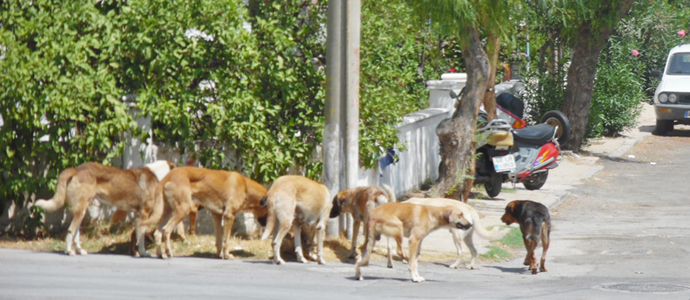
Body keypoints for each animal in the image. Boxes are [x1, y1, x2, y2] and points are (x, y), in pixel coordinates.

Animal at [34, 161, 175, 256]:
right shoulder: (143, 214)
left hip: (82, 210)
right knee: (70, 231)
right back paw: (69, 251)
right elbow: (141, 237)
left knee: (76, 233)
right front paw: (143, 253)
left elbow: (136, 235)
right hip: (81, 209)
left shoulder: (137, 215)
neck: (158, 175)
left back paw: (80, 250)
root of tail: (77, 169)